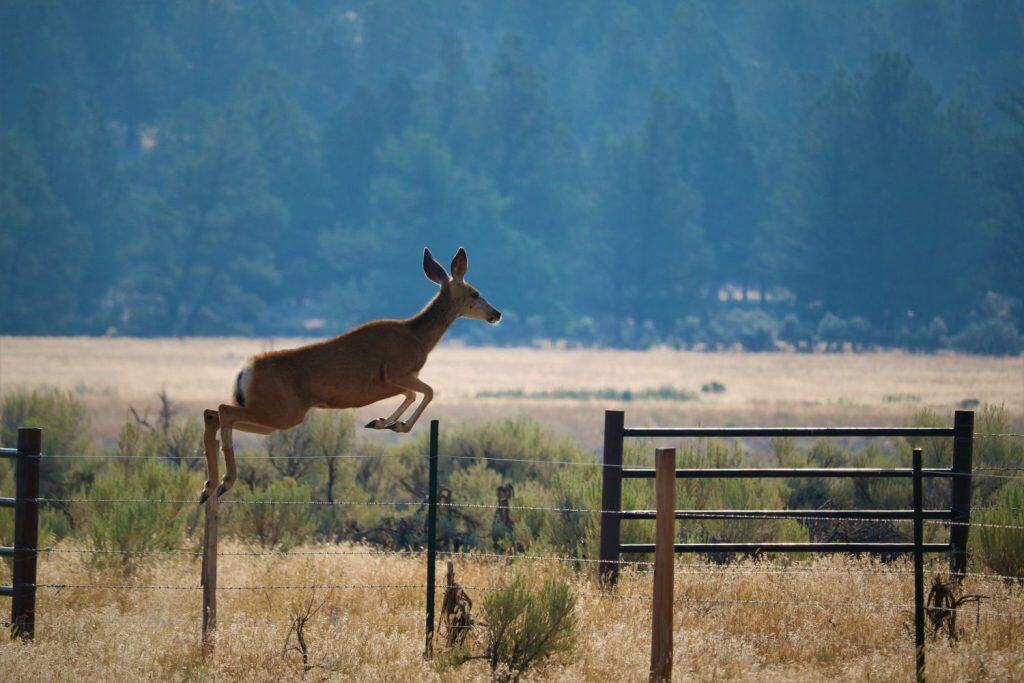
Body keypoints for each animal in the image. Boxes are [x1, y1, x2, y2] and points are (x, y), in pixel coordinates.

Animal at [199, 247, 501, 503]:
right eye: (475, 293)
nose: (496, 313)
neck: (418, 337)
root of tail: (245, 370)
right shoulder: (396, 371)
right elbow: (427, 391)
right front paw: (396, 425)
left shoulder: (394, 382)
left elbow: (413, 395)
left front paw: (381, 422)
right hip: (281, 410)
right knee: (223, 411)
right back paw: (225, 482)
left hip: (274, 415)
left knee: (213, 413)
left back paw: (208, 488)